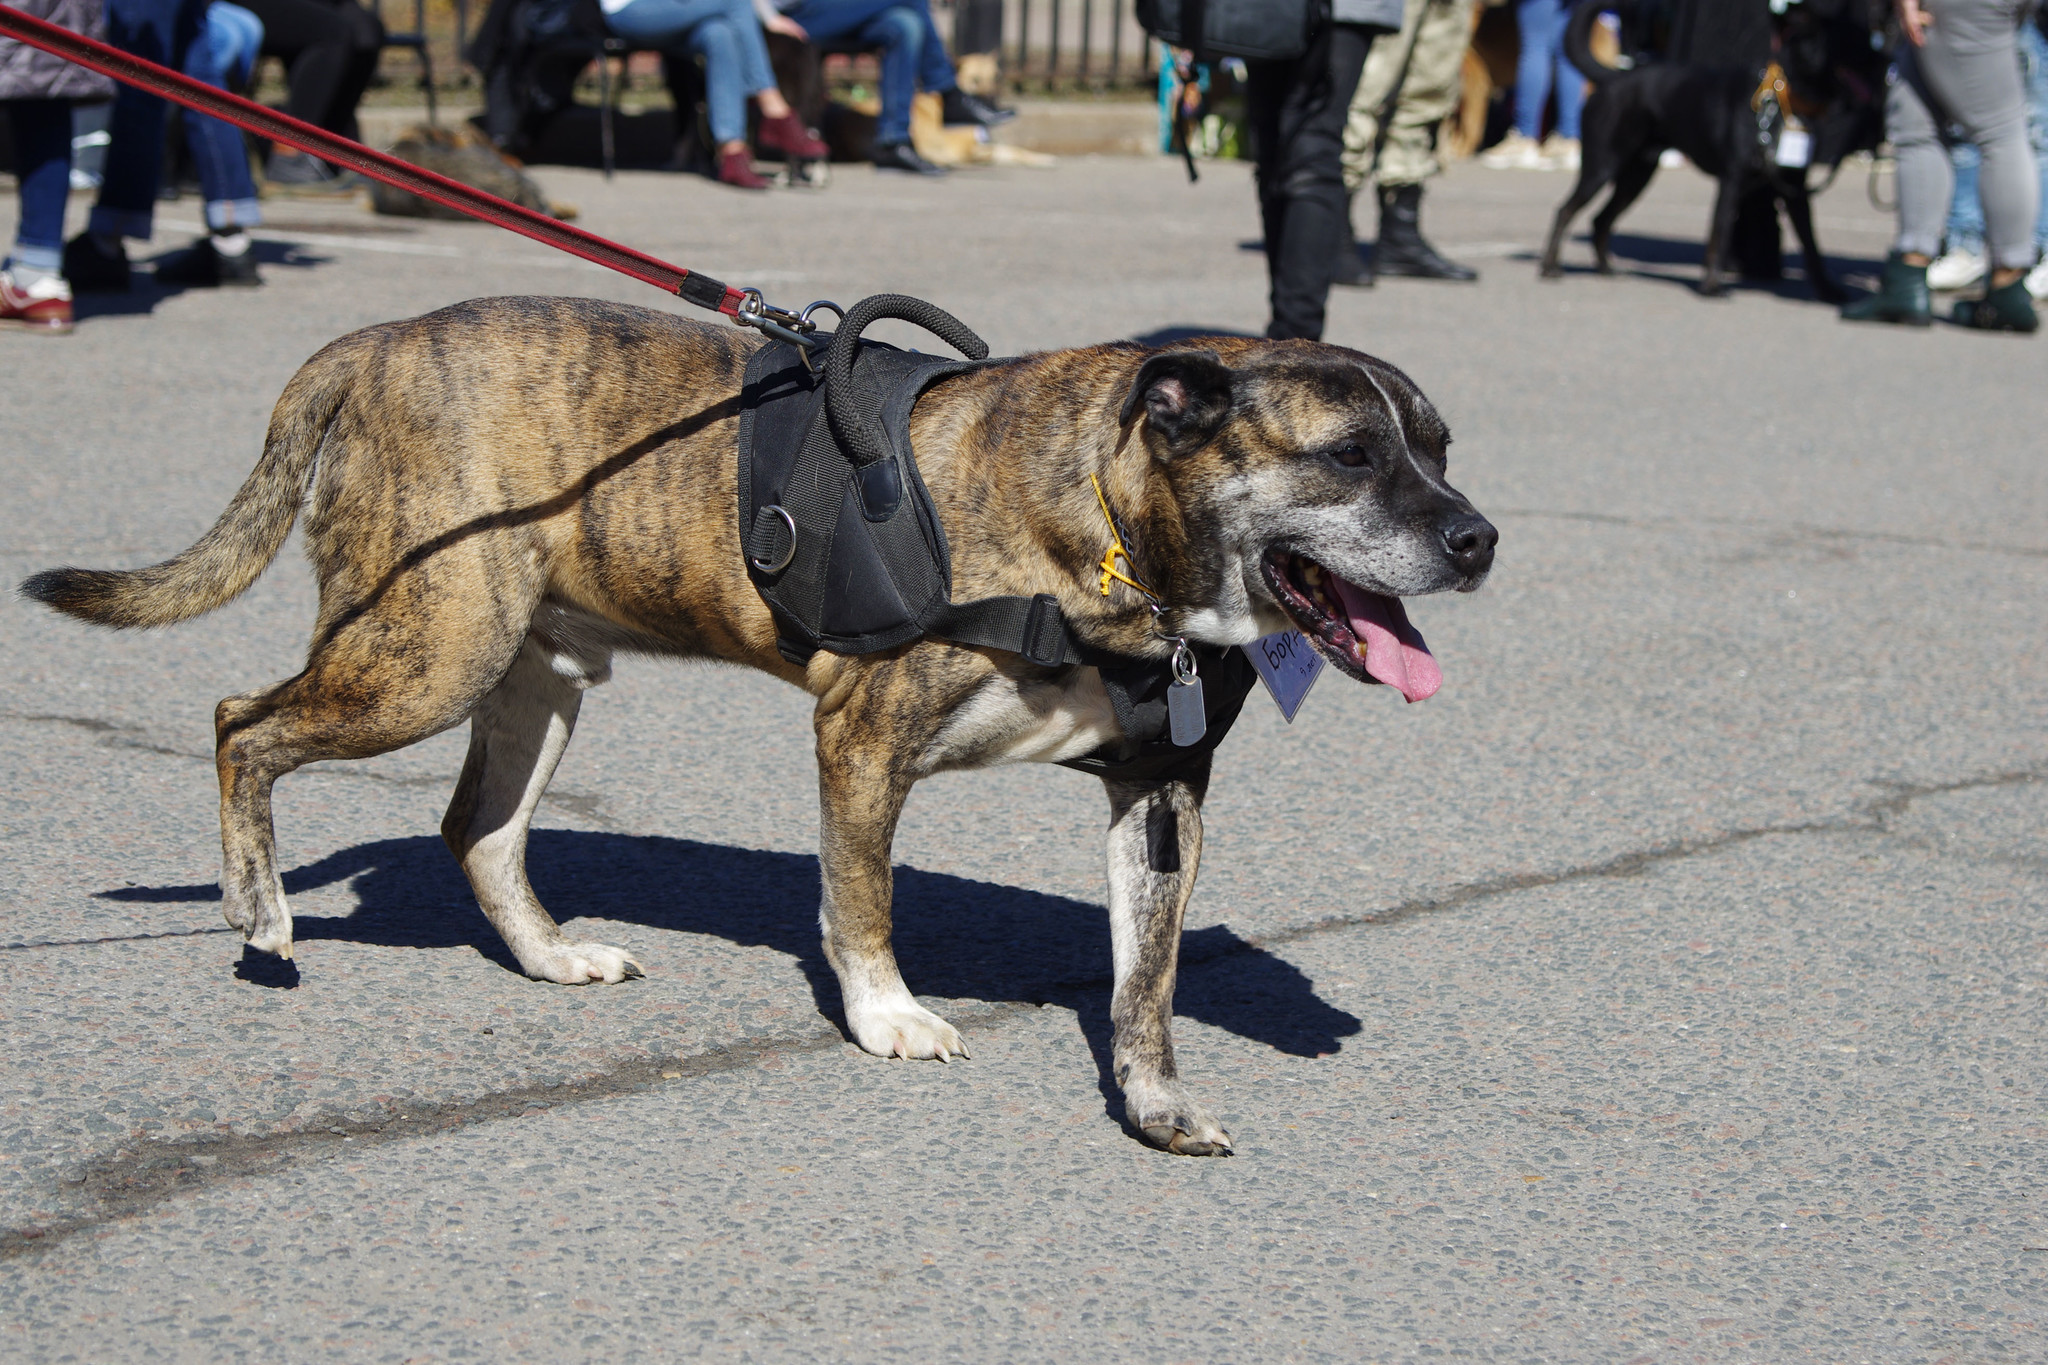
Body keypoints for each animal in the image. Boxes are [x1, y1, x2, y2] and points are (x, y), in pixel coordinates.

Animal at [19, 296, 1507, 1154]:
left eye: (1441, 450)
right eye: (1348, 455)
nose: (1479, 538)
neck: (1112, 527)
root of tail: (362, 349)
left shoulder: (1158, 797)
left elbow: (1145, 979)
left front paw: (1149, 1101)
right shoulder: (861, 742)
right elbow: (863, 903)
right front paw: (887, 1015)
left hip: (530, 677)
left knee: (476, 830)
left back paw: (547, 956)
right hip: (423, 653)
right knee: (240, 723)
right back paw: (258, 907)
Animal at [1540, 0, 1884, 298]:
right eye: (1856, 42)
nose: (1884, 62)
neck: (1785, 99)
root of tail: (1613, 76)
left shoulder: (1796, 191)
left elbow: (1813, 247)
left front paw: (1829, 292)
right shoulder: (1731, 182)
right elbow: (1720, 232)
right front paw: (1711, 285)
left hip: (1636, 176)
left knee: (1601, 220)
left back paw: (1606, 268)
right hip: (1602, 166)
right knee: (1564, 210)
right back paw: (1550, 267)